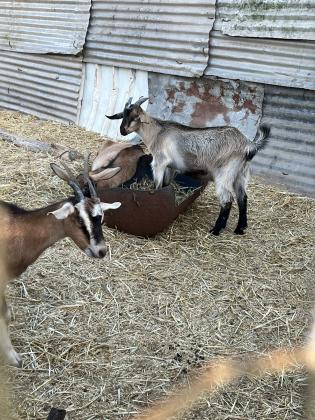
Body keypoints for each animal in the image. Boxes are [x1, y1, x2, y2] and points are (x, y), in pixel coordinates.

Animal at [0, 159, 121, 366]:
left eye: (101, 217)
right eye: (80, 218)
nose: (101, 251)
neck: (18, 227)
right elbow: (4, 315)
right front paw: (12, 357)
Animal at [107, 97, 270, 236]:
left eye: (135, 116)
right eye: (123, 115)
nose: (122, 131)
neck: (157, 133)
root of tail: (248, 144)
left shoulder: (159, 163)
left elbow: (157, 186)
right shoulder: (170, 167)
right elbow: (166, 184)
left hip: (224, 174)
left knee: (227, 200)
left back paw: (216, 230)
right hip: (241, 174)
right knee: (242, 197)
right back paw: (240, 228)